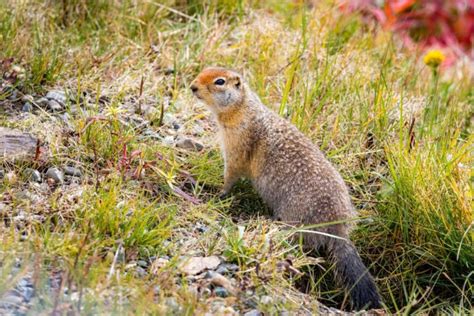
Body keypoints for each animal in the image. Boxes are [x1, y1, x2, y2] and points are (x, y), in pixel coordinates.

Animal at [189, 66, 382, 312]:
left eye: (219, 81)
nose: (193, 86)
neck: (243, 107)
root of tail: (338, 229)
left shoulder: (237, 143)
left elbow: (231, 172)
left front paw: (218, 191)